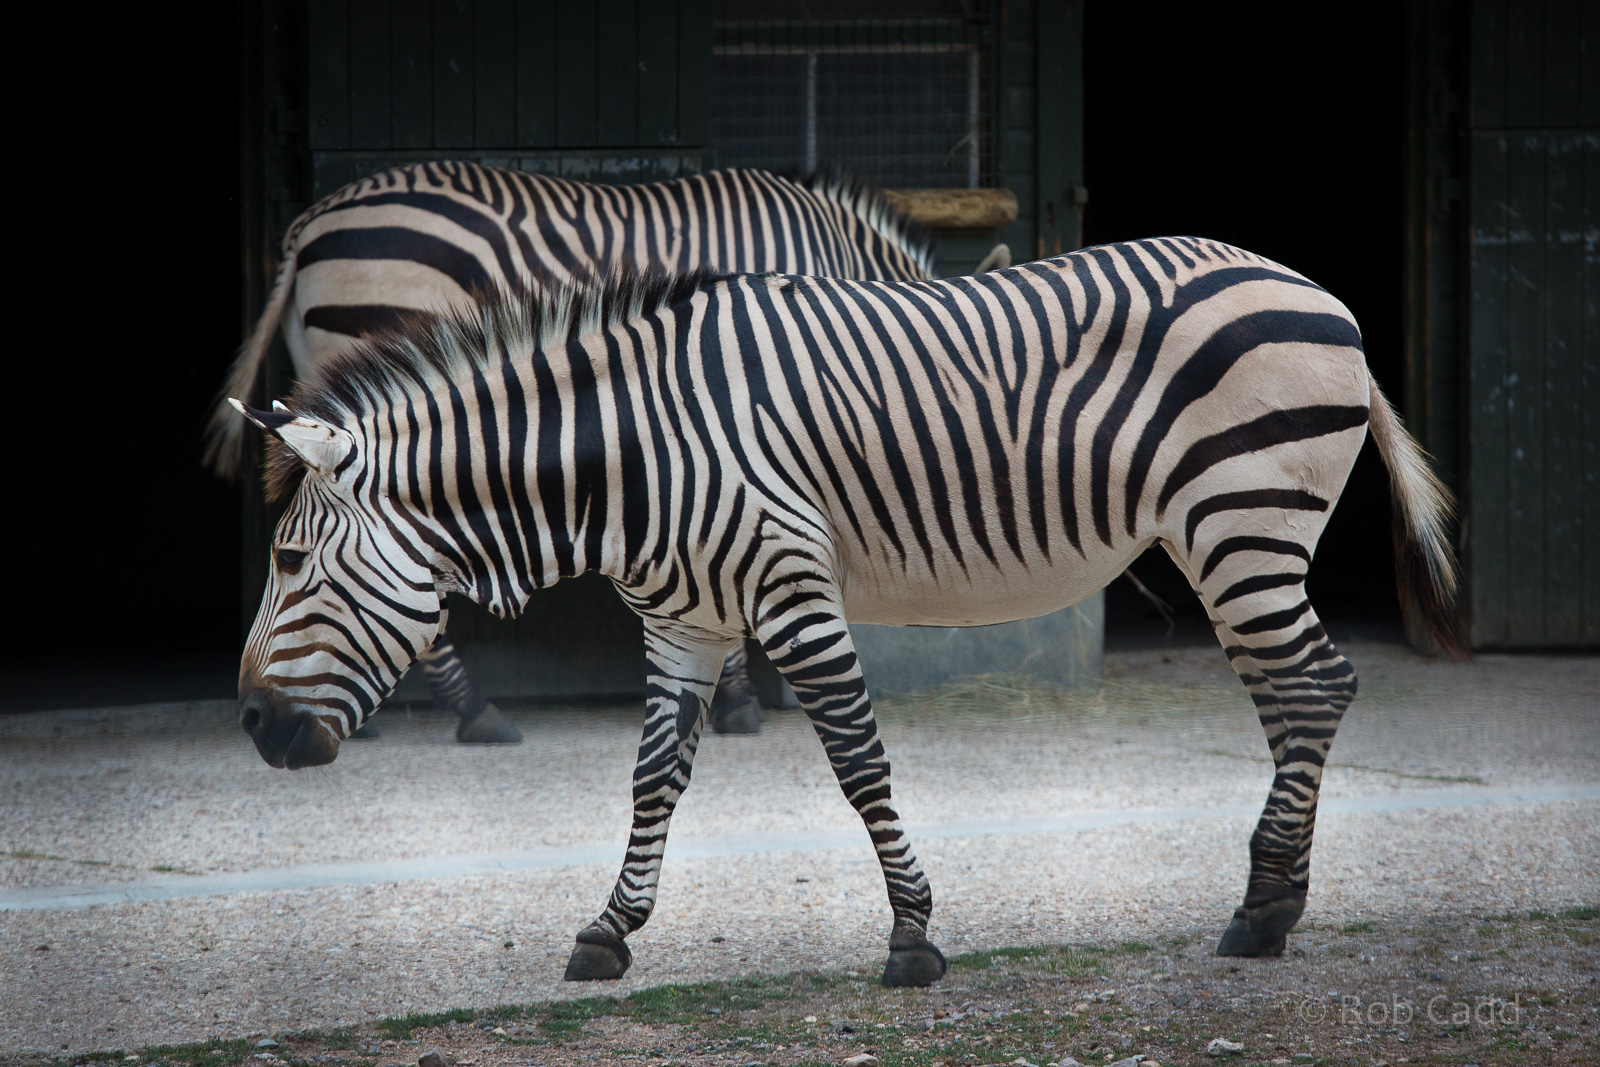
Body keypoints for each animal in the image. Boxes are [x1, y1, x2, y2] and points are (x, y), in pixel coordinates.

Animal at [229, 237, 1464, 986]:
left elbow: (859, 760)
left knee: (1313, 685)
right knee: (1298, 693)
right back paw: (1274, 901)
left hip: (1243, 521)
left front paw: (913, 934)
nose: (249, 726)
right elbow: (652, 779)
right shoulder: (682, 621)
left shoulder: (791, 587)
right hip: (1237, 538)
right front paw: (608, 928)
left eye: (288, 559)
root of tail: (1310, 289)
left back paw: (1259, 910)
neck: (626, 461)